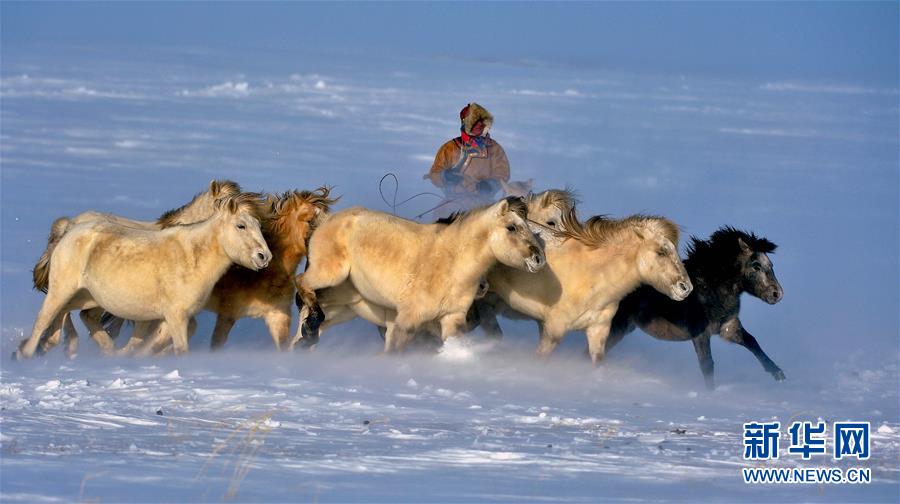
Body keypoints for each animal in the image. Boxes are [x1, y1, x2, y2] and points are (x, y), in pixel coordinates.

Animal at [292, 195, 544, 352]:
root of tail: (326, 219)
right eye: (512, 227)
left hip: (343, 308)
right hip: (330, 275)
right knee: (301, 282)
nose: (539, 259)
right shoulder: (408, 319)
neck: (451, 264)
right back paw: (311, 327)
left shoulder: (452, 318)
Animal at [608, 228, 784, 390]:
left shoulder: (728, 327)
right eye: (756, 266)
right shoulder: (700, 332)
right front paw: (710, 394)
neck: (710, 289)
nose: (777, 294)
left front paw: (778, 373)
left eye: (771, 265)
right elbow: (707, 364)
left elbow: (752, 342)